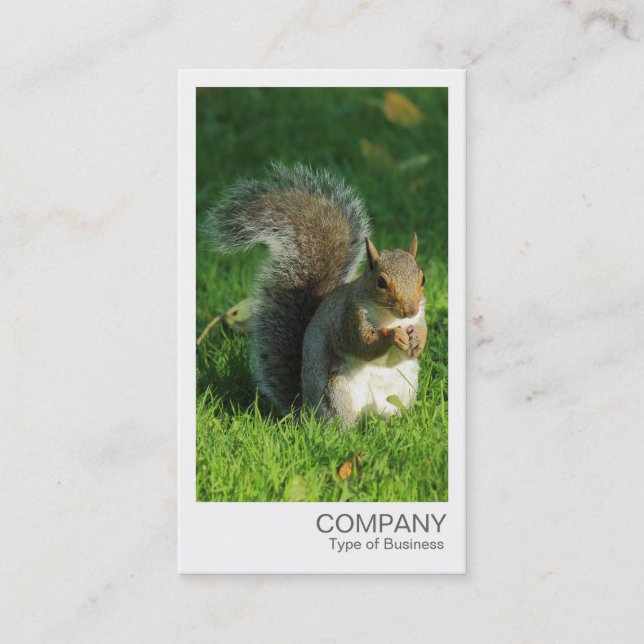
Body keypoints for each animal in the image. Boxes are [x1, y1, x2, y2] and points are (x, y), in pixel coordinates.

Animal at [204, 162, 427, 426]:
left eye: (423, 279)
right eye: (380, 282)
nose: (410, 310)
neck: (390, 317)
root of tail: (306, 411)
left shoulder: (420, 315)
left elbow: (422, 329)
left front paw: (418, 341)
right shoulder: (350, 317)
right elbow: (364, 344)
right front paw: (394, 336)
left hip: (403, 390)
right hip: (338, 393)